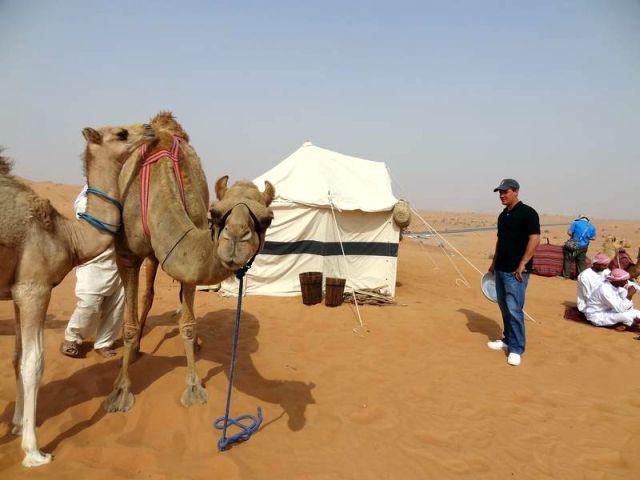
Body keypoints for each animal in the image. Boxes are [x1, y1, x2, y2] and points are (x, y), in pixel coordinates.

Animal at [0, 123, 157, 467]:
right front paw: (34, 451)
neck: (66, 236)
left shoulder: (17, 289)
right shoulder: (34, 287)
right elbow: (33, 363)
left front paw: (17, 424)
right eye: (121, 133)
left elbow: (17, 356)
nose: (150, 128)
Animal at [104, 112, 274, 412]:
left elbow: (188, 323)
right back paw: (136, 349)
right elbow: (129, 325)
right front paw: (120, 391)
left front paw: (194, 386)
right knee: (148, 295)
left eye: (267, 219)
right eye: (215, 212)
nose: (235, 238)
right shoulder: (126, 255)